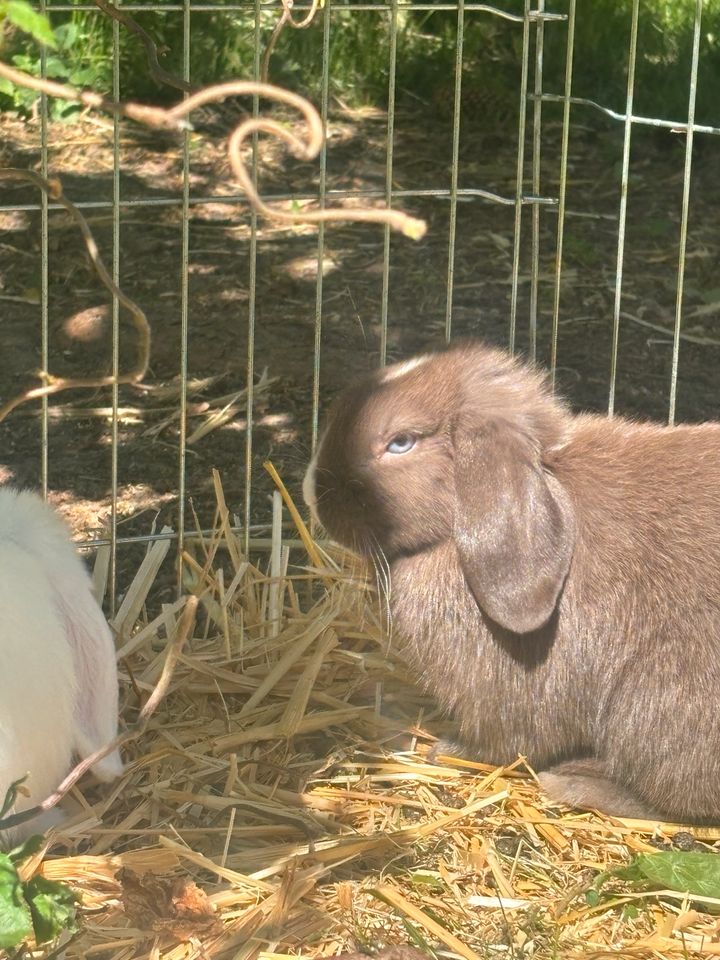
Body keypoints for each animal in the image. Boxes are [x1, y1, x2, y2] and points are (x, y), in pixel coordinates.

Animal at [306, 342, 720, 820]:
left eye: (401, 442)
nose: (311, 492)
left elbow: (508, 742)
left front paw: (447, 749)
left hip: (655, 710)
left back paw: (575, 781)